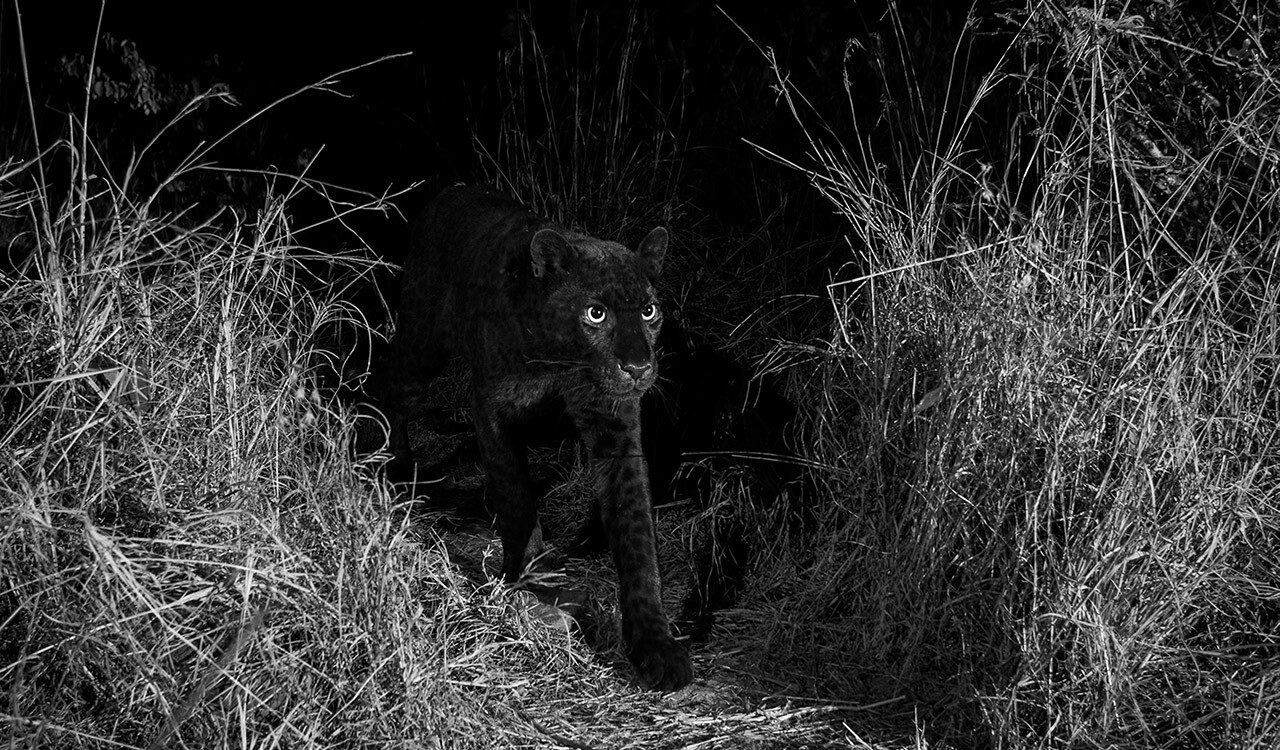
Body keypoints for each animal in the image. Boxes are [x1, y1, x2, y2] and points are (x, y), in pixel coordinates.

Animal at [376, 184, 691, 686]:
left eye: (649, 310)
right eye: (595, 313)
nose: (639, 366)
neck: (562, 361)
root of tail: (449, 190)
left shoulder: (615, 424)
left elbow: (636, 530)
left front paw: (655, 646)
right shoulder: (492, 407)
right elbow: (515, 493)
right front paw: (530, 577)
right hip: (423, 348)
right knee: (388, 382)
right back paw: (389, 464)